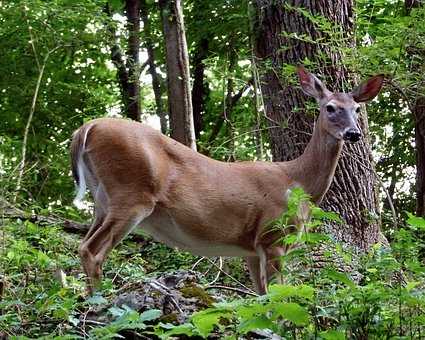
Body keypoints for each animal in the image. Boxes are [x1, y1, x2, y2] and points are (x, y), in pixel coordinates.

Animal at [71, 67, 382, 294]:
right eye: (330, 107)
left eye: (357, 109)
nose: (354, 133)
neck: (298, 182)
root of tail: (87, 128)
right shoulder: (273, 235)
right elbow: (279, 295)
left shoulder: (252, 249)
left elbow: (262, 297)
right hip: (132, 194)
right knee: (91, 250)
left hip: (103, 201)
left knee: (84, 244)